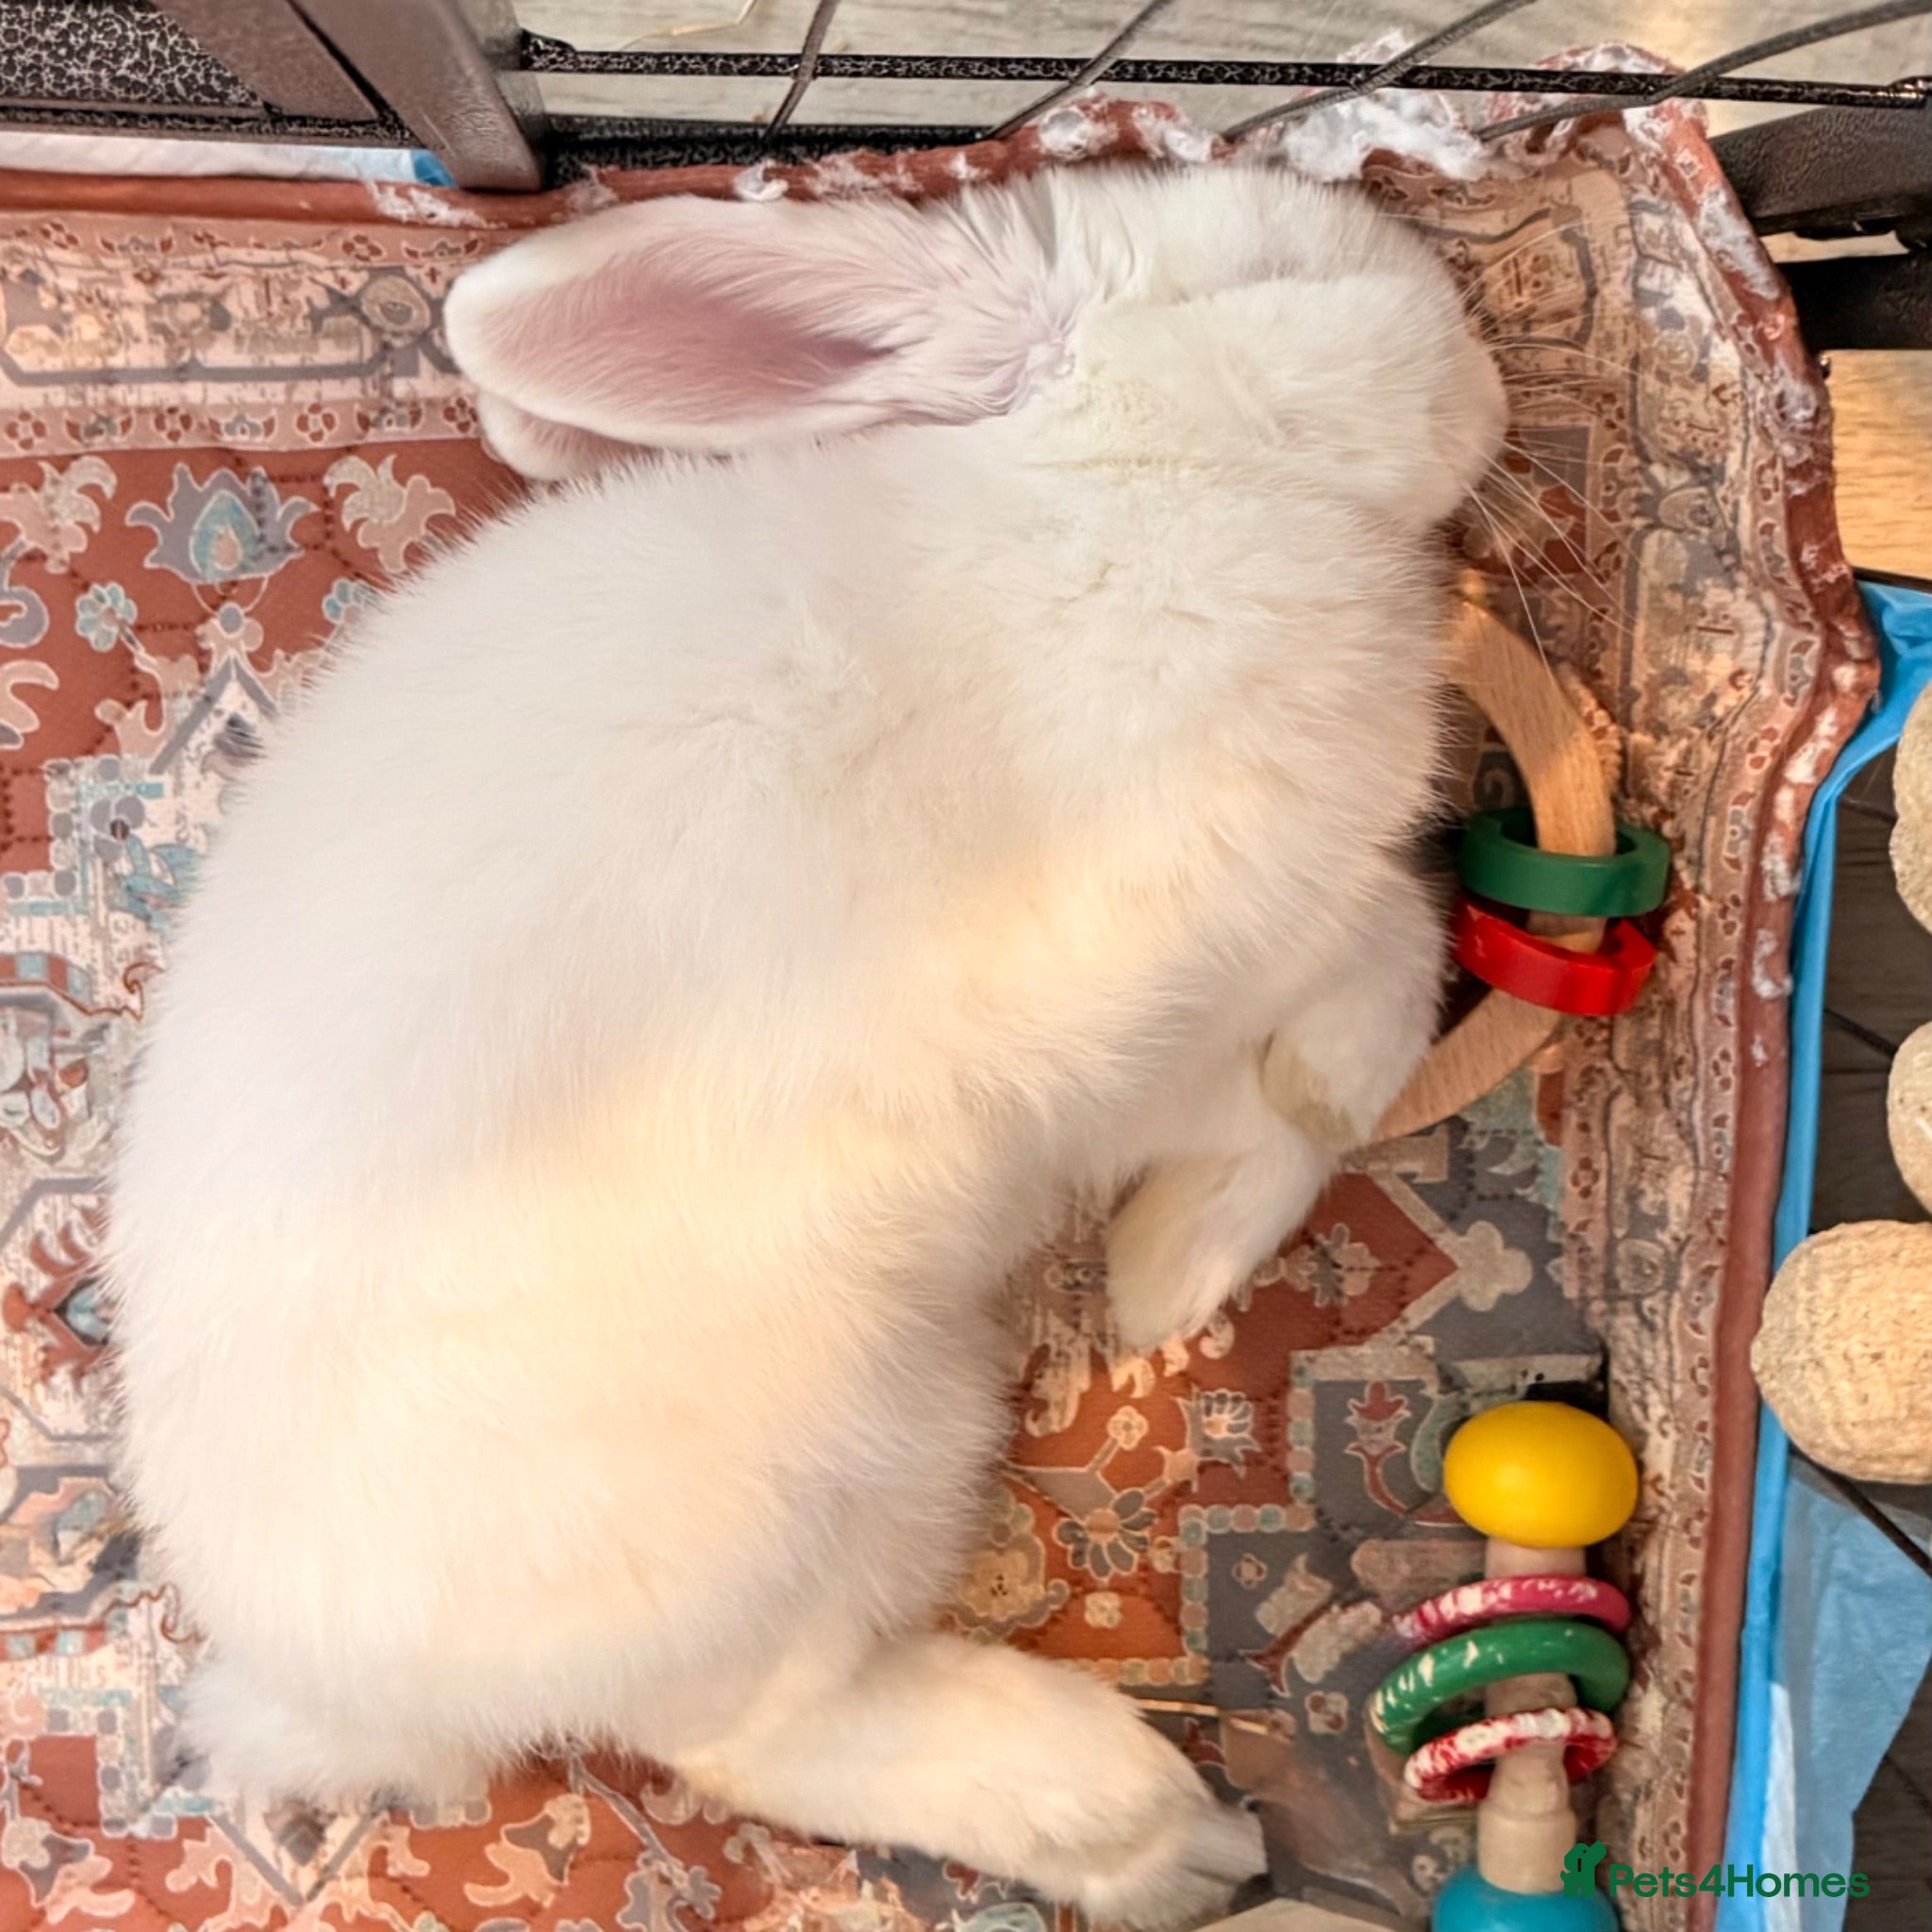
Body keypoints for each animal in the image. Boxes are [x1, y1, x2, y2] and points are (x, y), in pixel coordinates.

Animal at [107, 159, 1505, 1925]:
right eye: (1271, 270)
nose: (1484, 369)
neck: (1126, 477)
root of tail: (326, 1692)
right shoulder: (1158, 985)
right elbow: (1377, 982)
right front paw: (1178, 1266)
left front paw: (1156, 1280)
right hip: (845, 1467)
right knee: (753, 1736)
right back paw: (1145, 1828)